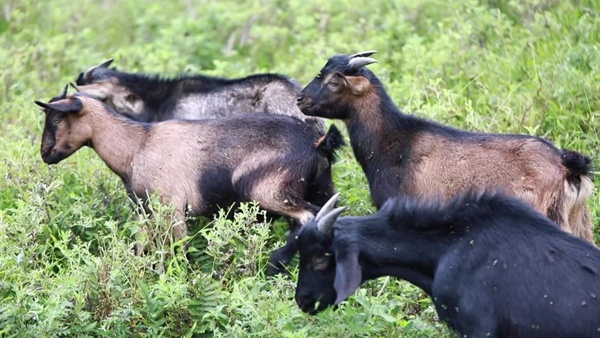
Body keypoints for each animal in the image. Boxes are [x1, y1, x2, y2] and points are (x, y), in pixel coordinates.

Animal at [34, 89, 342, 272]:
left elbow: (176, 249)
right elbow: (143, 247)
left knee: (308, 217)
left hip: (267, 191)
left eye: (58, 119)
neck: (137, 146)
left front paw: (179, 281)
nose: (45, 154)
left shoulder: (172, 207)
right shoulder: (145, 210)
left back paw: (277, 264)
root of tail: (317, 144)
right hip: (320, 188)